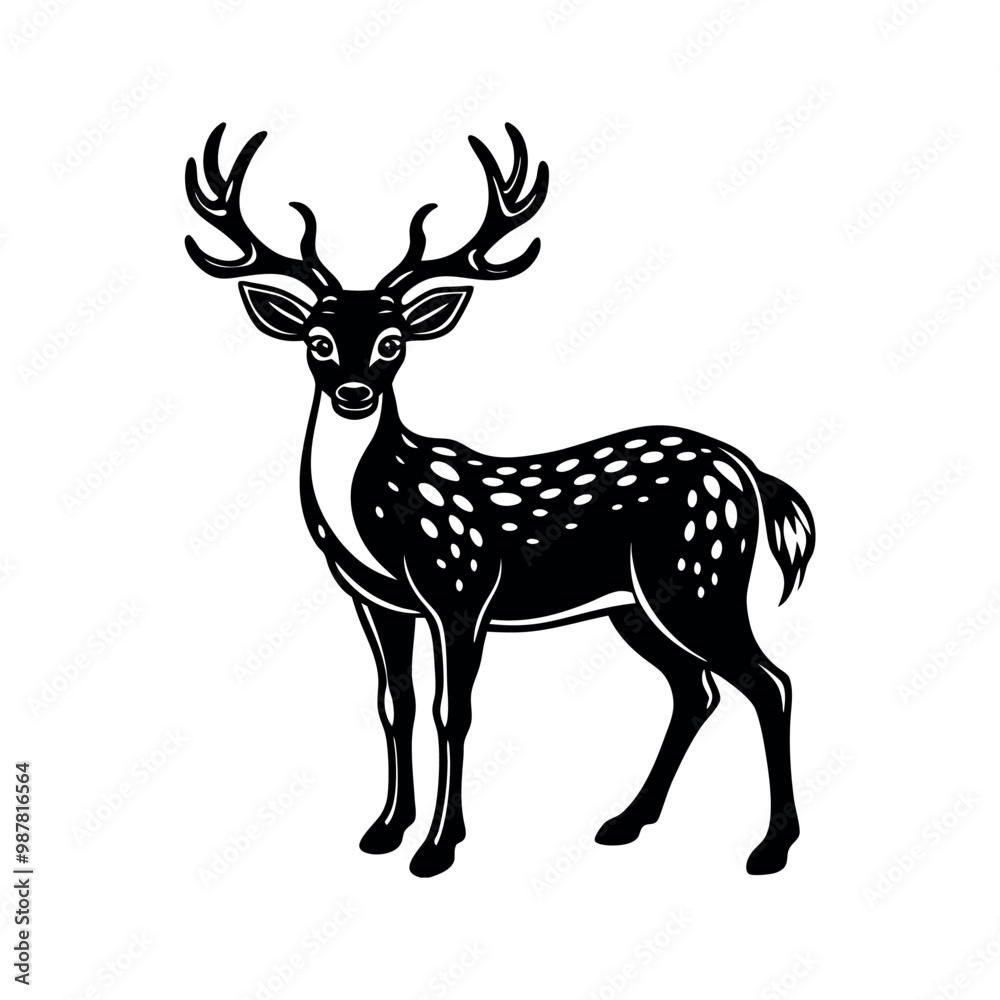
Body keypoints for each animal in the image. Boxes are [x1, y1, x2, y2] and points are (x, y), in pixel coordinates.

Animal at [185, 122, 816, 878]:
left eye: (393, 342)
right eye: (319, 341)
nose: (354, 393)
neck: (376, 518)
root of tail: (753, 475)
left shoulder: (461, 587)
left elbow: (451, 711)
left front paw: (437, 847)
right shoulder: (374, 599)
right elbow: (394, 704)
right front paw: (384, 829)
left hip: (701, 576)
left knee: (769, 681)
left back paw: (771, 847)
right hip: (635, 605)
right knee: (697, 691)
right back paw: (626, 822)